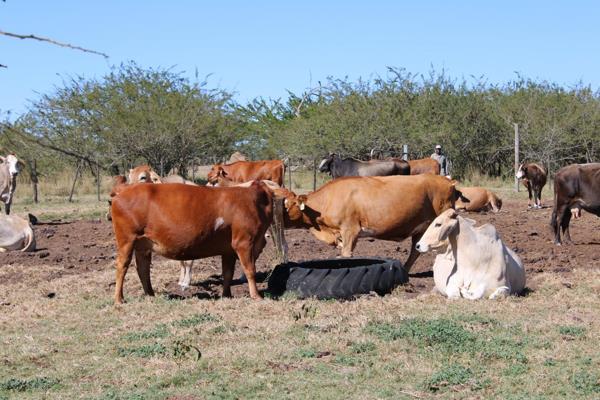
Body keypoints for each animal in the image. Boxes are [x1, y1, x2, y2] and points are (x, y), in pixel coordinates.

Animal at [109, 181, 274, 304]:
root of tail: (124, 190)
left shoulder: (228, 249)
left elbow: (228, 273)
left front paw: (227, 295)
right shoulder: (244, 242)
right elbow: (250, 269)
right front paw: (256, 296)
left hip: (142, 245)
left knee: (143, 268)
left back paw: (150, 294)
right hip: (127, 239)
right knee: (122, 266)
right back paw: (119, 299)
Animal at [278, 175, 464, 272]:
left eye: (287, 206)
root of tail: (446, 180)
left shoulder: (350, 230)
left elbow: (346, 254)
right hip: (422, 229)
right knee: (415, 251)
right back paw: (405, 269)